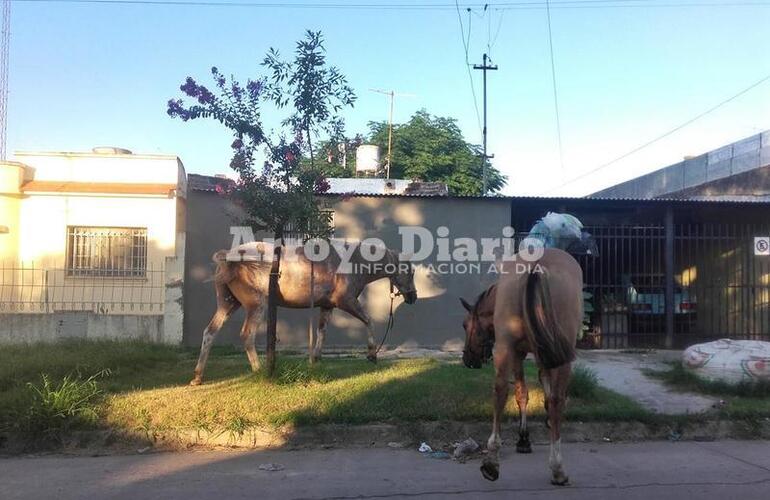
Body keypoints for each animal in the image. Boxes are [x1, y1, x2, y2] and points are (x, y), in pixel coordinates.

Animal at [191, 240, 416, 384]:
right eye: (410, 271)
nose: (413, 297)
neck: (351, 263)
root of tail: (230, 257)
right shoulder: (346, 302)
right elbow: (368, 320)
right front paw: (371, 354)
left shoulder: (327, 306)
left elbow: (321, 331)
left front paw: (316, 359)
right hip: (256, 306)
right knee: (247, 335)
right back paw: (260, 370)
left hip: (228, 304)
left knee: (209, 333)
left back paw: (198, 376)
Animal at [460, 248, 580, 486]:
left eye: (465, 325)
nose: (468, 359)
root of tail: (537, 264)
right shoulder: (533, 353)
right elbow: (535, 392)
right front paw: (526, 436)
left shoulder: (521, 352)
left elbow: (523, 392)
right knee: (557, 400)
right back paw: (557, 468)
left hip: (505, 347)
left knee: (499, 390)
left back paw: (492, 462)